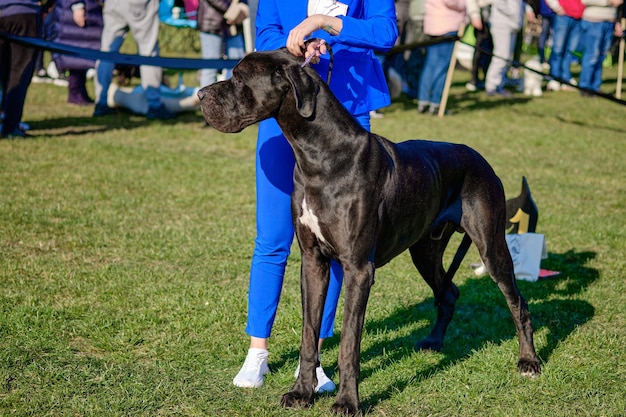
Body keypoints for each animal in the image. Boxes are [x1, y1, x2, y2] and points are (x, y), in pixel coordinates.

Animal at [197, 48, 540, 412]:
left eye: (239, 78)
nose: (200, 95)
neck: (320, 155)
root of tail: (479, 157)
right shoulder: (312, 262)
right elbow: (308, 335)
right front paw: (302, 392)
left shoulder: (359, 268)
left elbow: (349, 342)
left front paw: (348, 401)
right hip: (425, 250)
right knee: (449, 293)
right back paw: (434, 341)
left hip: (491, 245)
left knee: (518, 302)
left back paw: (529, 362)